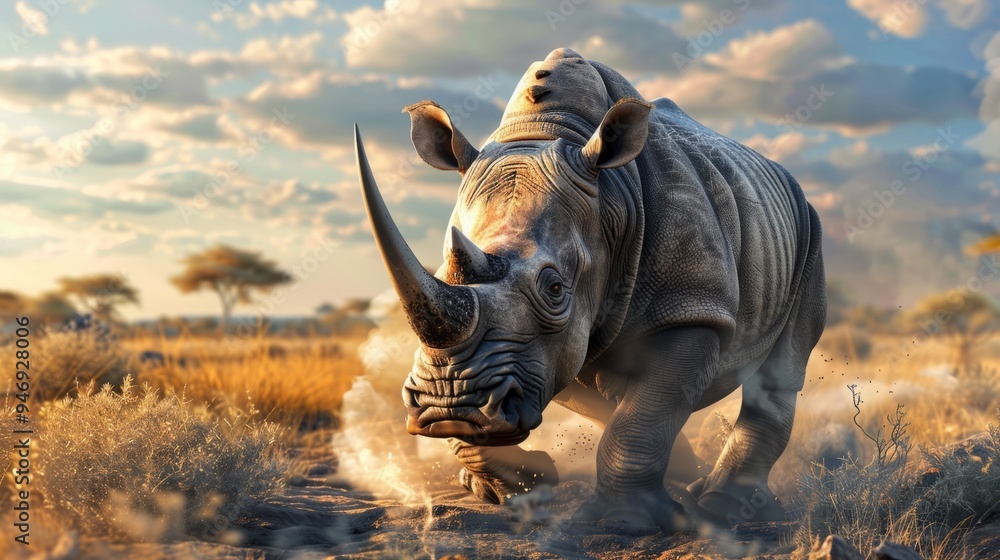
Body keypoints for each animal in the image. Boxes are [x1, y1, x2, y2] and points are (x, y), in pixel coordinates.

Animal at [354, 47, 826, 528]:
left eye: (555, 289)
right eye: (443, 270)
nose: (451, 405)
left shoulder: (693, 307)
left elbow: (642, 414)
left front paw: (627, 522)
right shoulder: (546, 351)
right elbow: (614, 403)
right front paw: (525, 484)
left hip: (809, 227)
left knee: (782, 370)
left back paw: (723, 507)